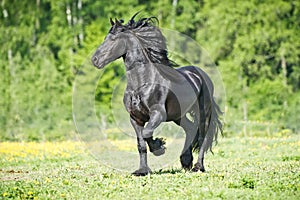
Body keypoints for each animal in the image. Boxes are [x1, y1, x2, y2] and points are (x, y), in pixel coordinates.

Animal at [91, 14, 223, 176]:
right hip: (178, 116)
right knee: (191, 128)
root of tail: (201, 75)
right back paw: (186, 160)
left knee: (202, 137)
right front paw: (142, 170)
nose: (95, 60)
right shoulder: (135, 118)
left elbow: (147, 133)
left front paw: (159, 147)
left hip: (204, 113)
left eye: (113, 39)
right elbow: (141, 144)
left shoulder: (158, 113)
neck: (141, 84)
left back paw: (198, 166)